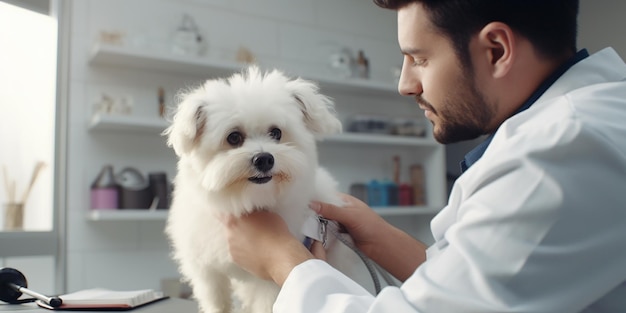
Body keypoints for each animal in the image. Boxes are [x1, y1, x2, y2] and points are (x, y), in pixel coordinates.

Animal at [163, 66, 348, 312]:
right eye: (233, 137)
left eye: (276, 133)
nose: (264, 159)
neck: (245, 200)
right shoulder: (206, 268)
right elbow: (216, 299)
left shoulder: (268, 275)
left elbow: (266, 302)